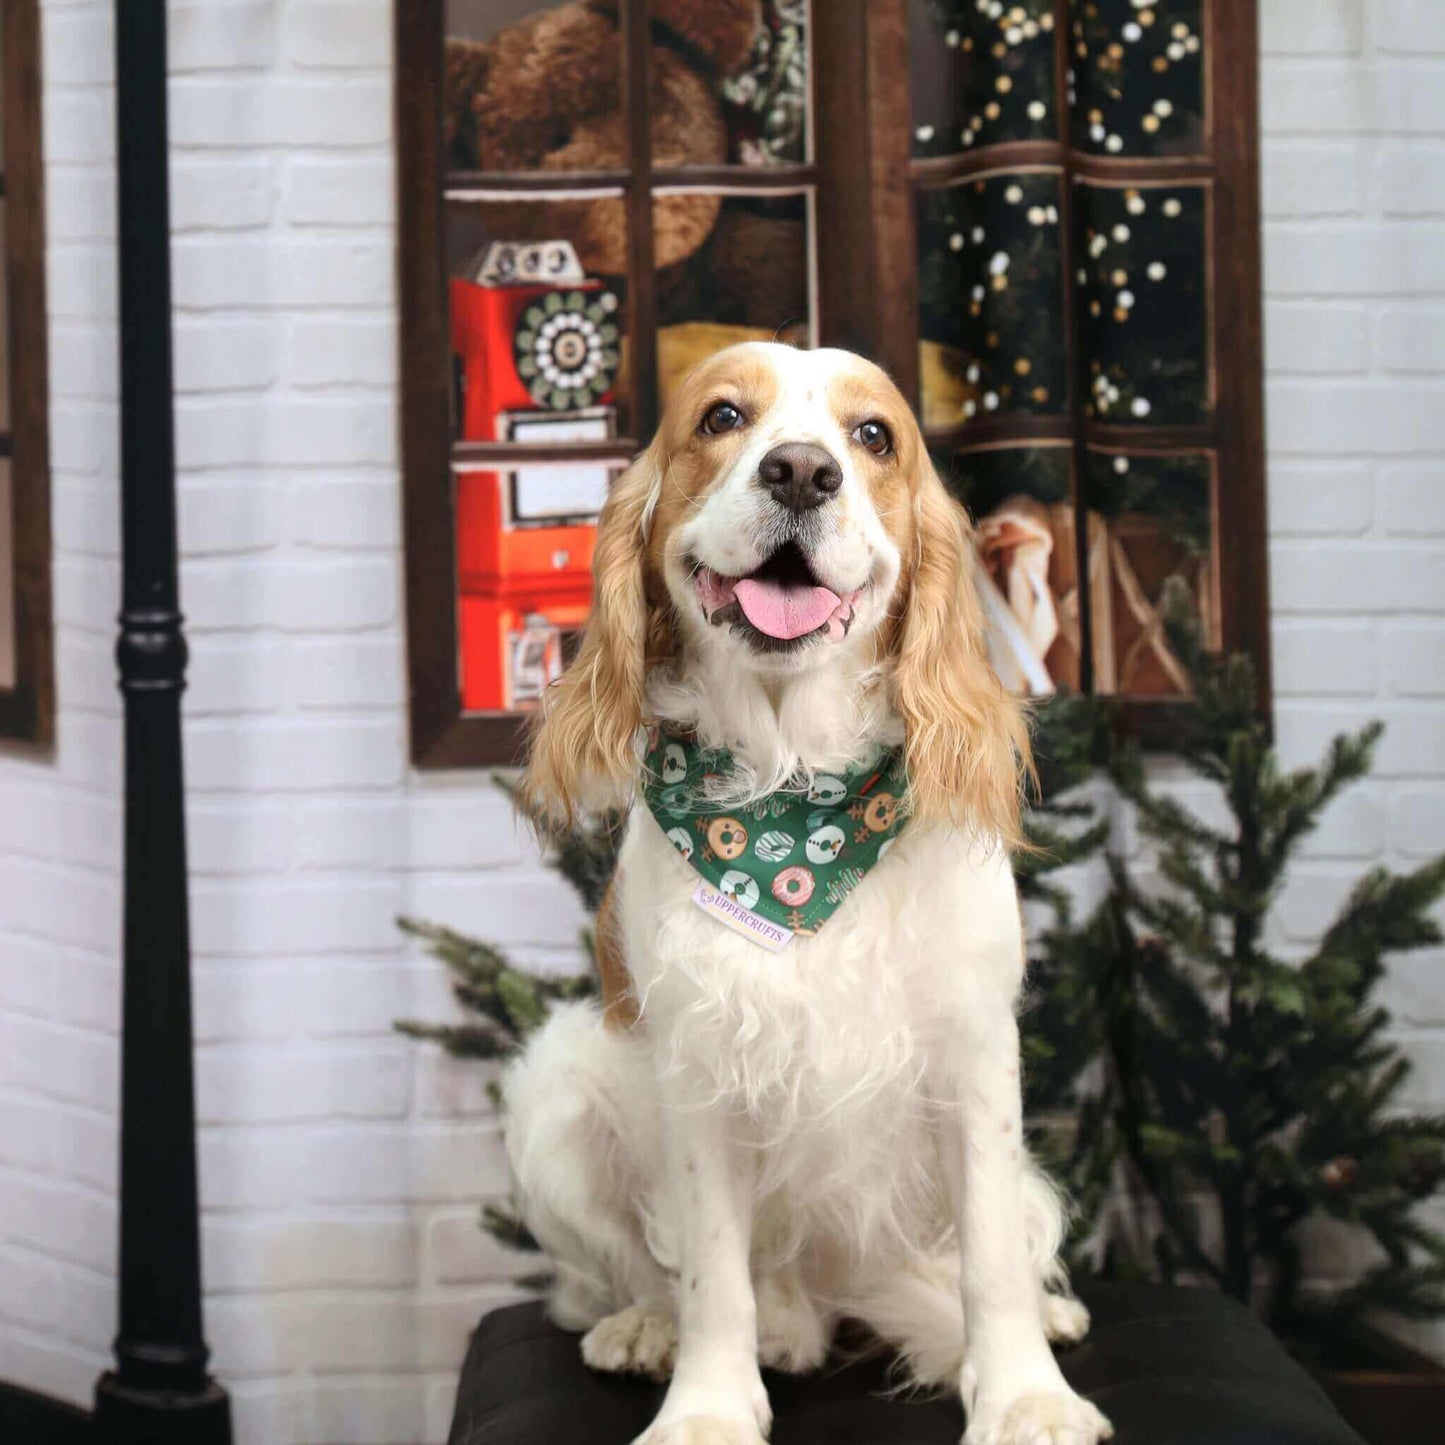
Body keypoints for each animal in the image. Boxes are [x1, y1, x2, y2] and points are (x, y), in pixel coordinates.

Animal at [502, 341, 1109, 1445]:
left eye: (872, 435)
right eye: (720, 416)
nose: (799, 471)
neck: (792, 804)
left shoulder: (973, 1050)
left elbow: (991, 1254)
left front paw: (1023, 1392)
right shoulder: (698, 1062)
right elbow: (709, 1273)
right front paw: (705, 1404)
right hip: (555, 1086)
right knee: (622, 1280)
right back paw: (661, 1326)